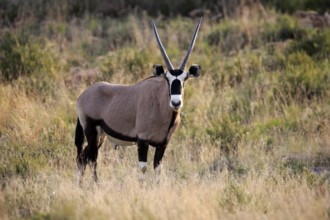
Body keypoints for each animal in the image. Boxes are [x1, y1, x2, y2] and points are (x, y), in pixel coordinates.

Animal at [75, 17, 202, 184]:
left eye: (184, 79)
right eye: (167, 79)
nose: (176, 103)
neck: (160, 105)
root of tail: (82, 96)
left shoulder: (163, 144)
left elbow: (158, 169)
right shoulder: (142, 140)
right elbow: (143, 169)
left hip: (100, 134)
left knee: (83, 157)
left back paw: (80, 185)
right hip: (91, 131)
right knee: (91, 159)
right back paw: (96, 185)